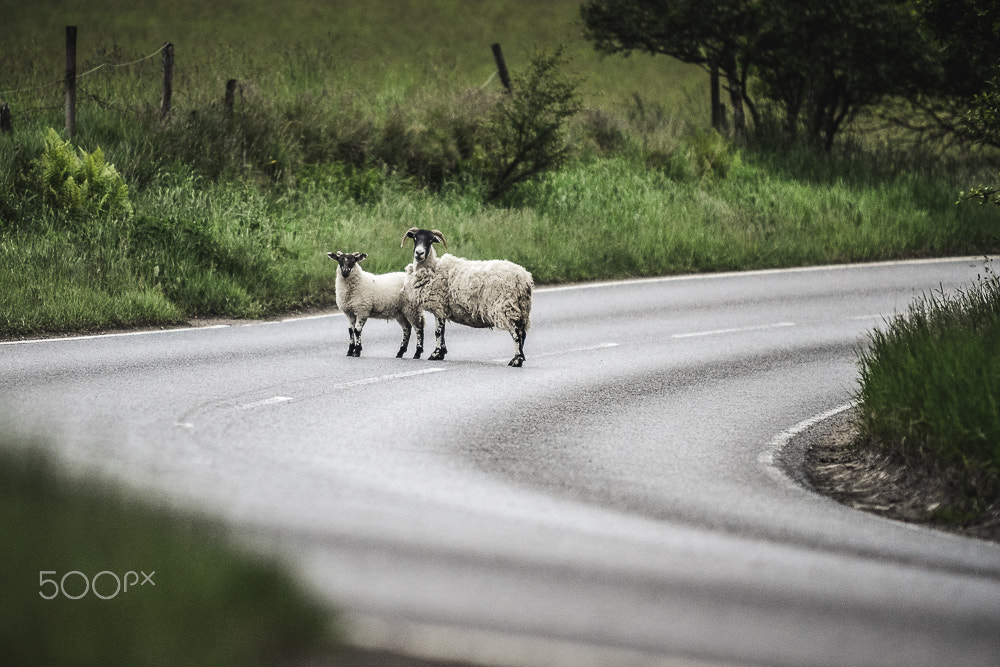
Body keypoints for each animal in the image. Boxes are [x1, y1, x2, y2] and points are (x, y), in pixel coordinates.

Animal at [402, 227, 536, 368]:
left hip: (506, 307)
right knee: (522, 333)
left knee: (516, 333)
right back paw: (518, 358)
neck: (433, 268)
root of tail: (524, 278)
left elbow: (438, 332)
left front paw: (435, 354)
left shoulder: (438, 305)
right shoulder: (442, 308)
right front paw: (441, 353)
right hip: (522, 309)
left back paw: (517, 360)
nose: (419, 253)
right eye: (415, 238)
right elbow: (442, 331)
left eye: (430, 240)